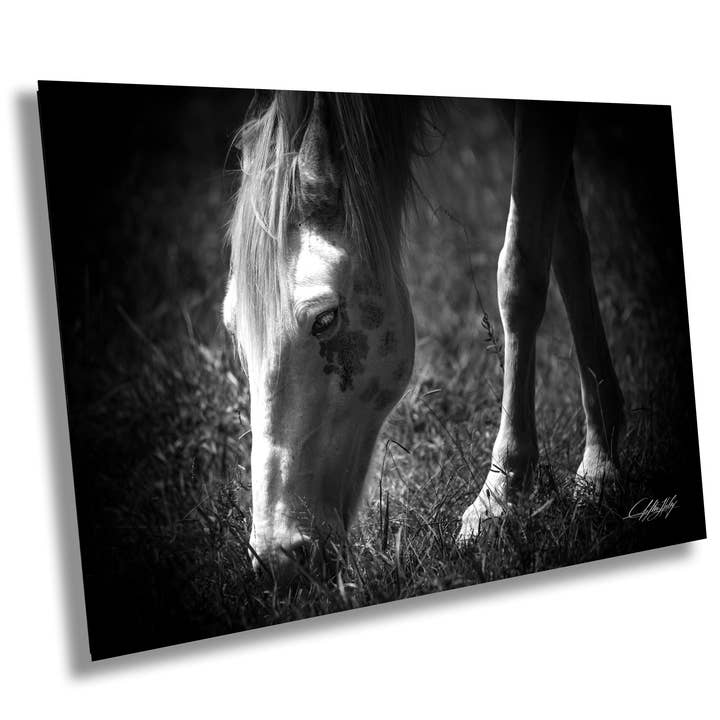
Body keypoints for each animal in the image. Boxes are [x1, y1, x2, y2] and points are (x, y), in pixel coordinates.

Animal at [223, 91, 625, 583]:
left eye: (324, 319)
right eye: (233, 331)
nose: (277, 559)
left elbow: (521, 271)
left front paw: (502, 498)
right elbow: (567, 244)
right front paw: (601, 461)